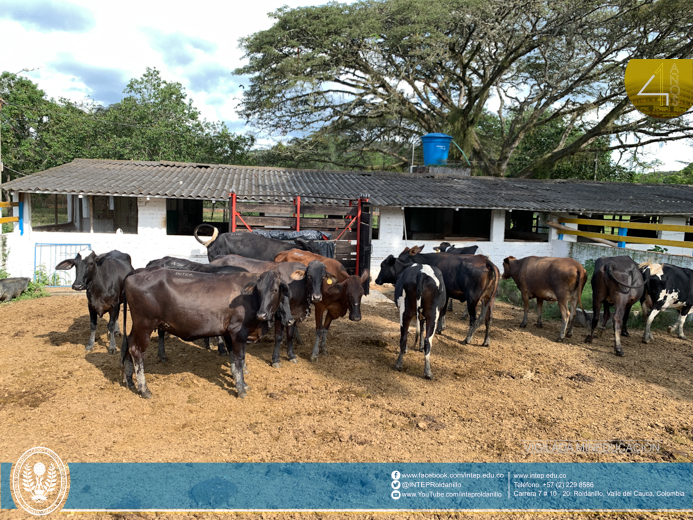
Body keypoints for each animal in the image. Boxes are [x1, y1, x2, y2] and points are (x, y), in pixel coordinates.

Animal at [121, 268, 292, 398]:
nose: (262, 314)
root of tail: (137, 272)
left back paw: (129, 381)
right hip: (145, 324)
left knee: (129, 345)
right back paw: (144, 389)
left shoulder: (228, 333)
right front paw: (241, 388)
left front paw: (241, 383)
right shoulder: (238, 331)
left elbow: (233, 359)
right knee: (137, 351)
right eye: (259, 290)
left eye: (275, 290)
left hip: (137, 327)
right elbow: (239, 359)